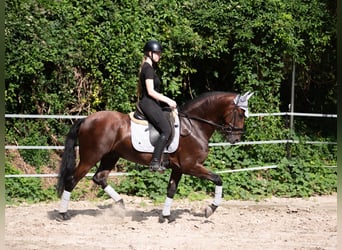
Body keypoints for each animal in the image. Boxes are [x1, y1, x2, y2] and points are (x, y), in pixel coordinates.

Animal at [56, 91, 254, 221]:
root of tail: (86, 119)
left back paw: (121, 204)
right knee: (72, 180)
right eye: (240, 113)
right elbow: (218, 178)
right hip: (91, 157)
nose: (236, 138)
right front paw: (210, 209)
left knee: (99, 177)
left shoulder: (179, 168)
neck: (194, 126)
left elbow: (171, 190)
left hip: (111, 156)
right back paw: (63, 214)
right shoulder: (191, 166)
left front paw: (165, 217)